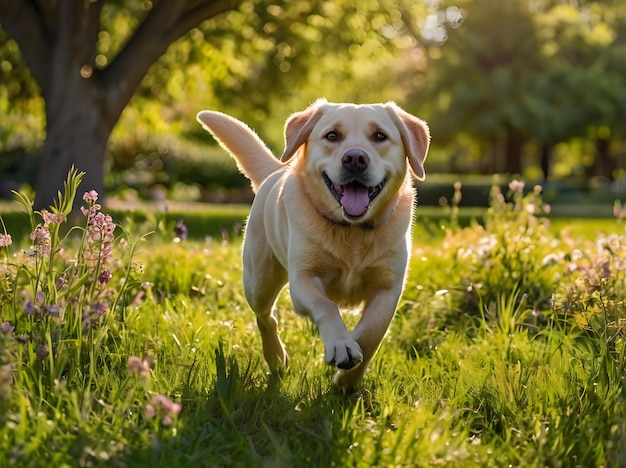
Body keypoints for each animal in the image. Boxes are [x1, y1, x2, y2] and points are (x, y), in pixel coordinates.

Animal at [196, 99, 428, 392]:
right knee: (265, 316)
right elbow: (326, 306)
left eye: (379, 136)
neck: (351, 231)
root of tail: (276, 169)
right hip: (259, 281)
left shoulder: (389, 289)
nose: (355, 158)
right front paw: (340, 344)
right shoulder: (303, 280)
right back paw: (275, 356)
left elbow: (371, 334)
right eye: (332, 135)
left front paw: (346, 381)